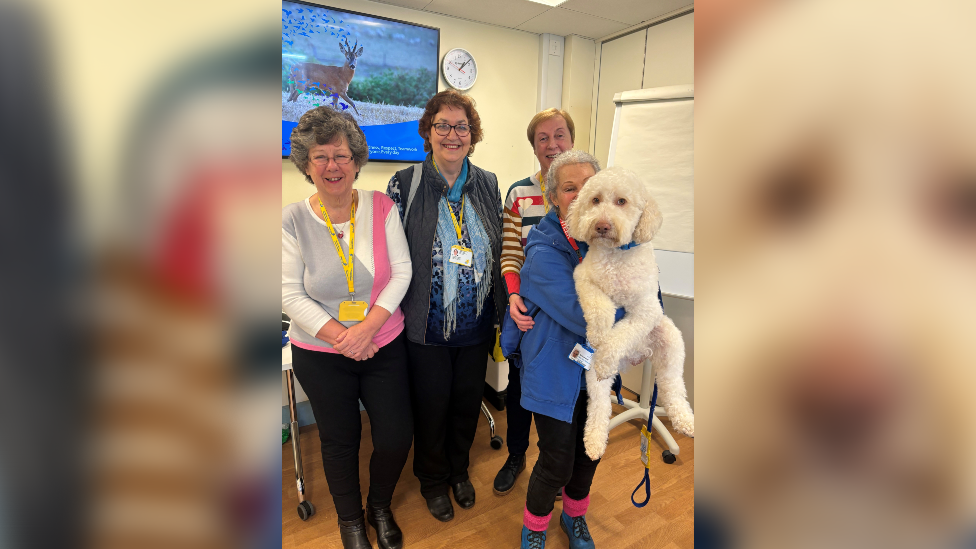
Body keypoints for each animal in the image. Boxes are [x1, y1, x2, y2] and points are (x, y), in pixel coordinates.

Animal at [564, 166, 692, 458]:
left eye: (621, 201)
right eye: (595, 200)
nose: (601, 225)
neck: (616, 256)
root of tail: (636, 355)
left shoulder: (647, 309)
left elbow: (621, 333)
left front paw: (608, 343)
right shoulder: (584, 279)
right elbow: (601, 307)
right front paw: (599, 334)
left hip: (669, 340)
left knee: (672, 385)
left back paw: (684, 419)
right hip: (592, 372)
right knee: (600, 404)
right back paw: (594, 440)